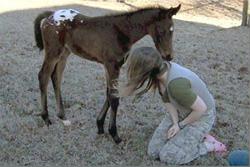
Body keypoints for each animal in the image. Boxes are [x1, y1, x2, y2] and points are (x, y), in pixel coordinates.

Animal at [34, 5, 181, 144]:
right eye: (161, 30)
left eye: (172, 31)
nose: (169, 56)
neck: (121, 31)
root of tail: (51, 15)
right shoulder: (112, 66)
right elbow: (114, 98)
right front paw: (114, 134)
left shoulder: (108, 66)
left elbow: (108, 93)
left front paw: (100, 126)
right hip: (53, 52)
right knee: (43, 76)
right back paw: (46, 118)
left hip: (64, 53)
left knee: (56, 77)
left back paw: (63, 118)